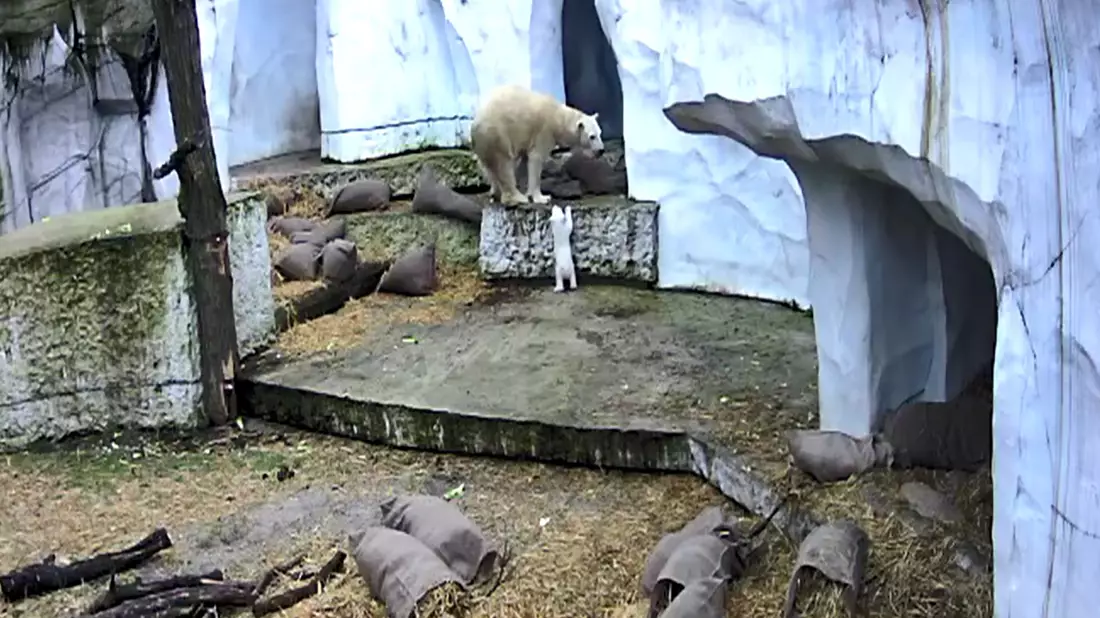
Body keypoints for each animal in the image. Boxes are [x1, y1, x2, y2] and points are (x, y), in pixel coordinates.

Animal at [470, 84, 604, 206]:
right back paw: (517, 197)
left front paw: (528, 191)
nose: (601, 150)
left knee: (489, 167)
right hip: (497, 135)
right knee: (503, 165)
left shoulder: (526, 138)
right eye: (592, 136)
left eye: (600, 133)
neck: (558, 117)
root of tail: (475, 123)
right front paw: (542, 197)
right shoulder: (544, 132)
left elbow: (525, 161)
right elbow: (536, 158)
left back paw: (495, 193)